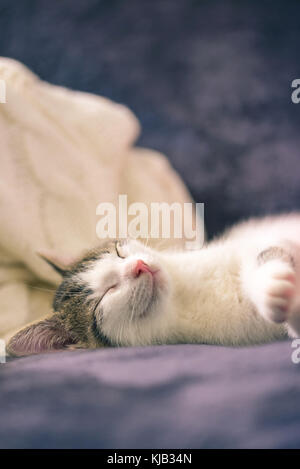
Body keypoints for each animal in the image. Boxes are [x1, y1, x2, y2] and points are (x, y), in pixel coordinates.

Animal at [7, 213, 300, 354]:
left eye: (118, 251)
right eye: (104, 296)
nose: (139, 266)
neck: (182, 300)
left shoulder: (257, 241)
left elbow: (266, 252)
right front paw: (278, 295)